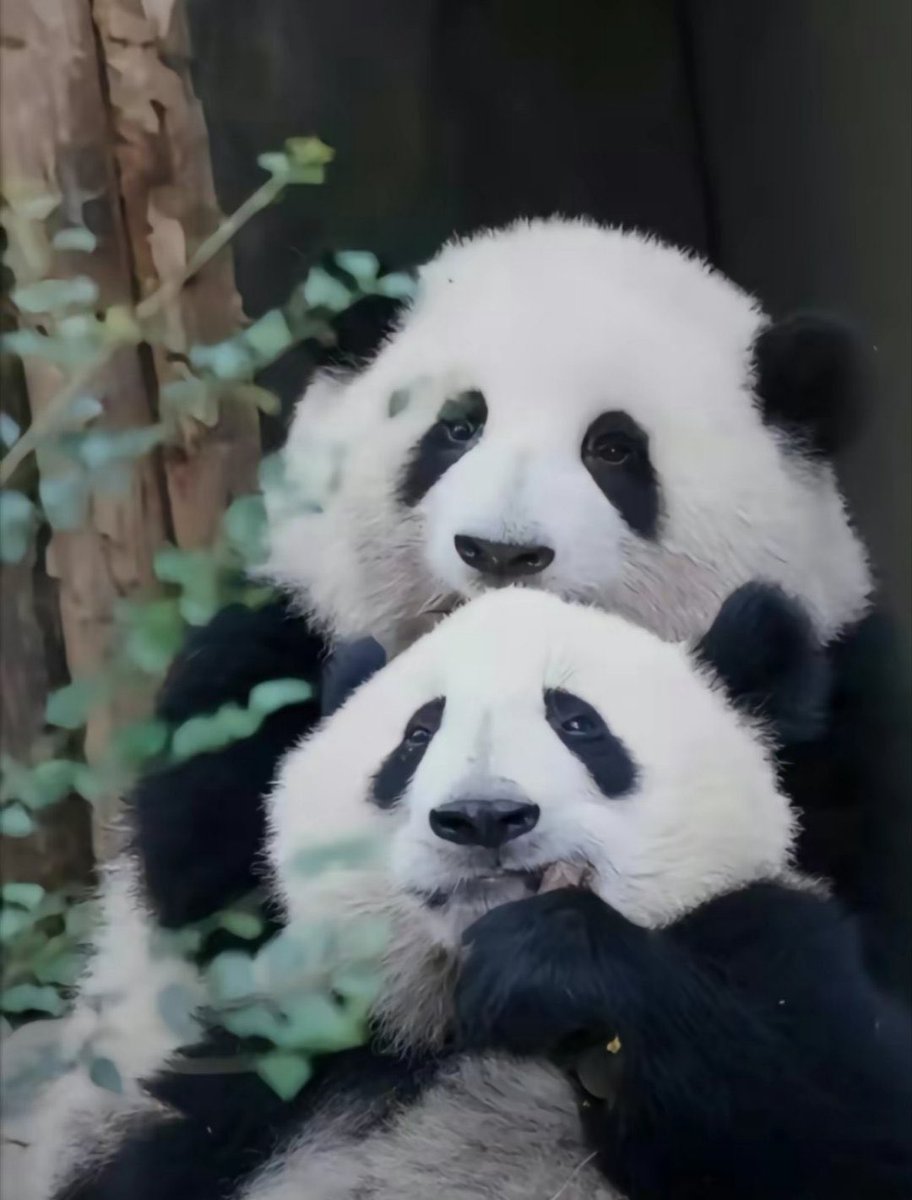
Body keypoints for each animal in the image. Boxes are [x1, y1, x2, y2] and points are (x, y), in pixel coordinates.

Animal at [42, 585, 911, 1200]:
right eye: (417, 735)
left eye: (579, 724)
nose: (484, 816)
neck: (460, 1017)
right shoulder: (283, 1062)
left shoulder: (772, 942)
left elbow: (850, 1127)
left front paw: (551, 958)